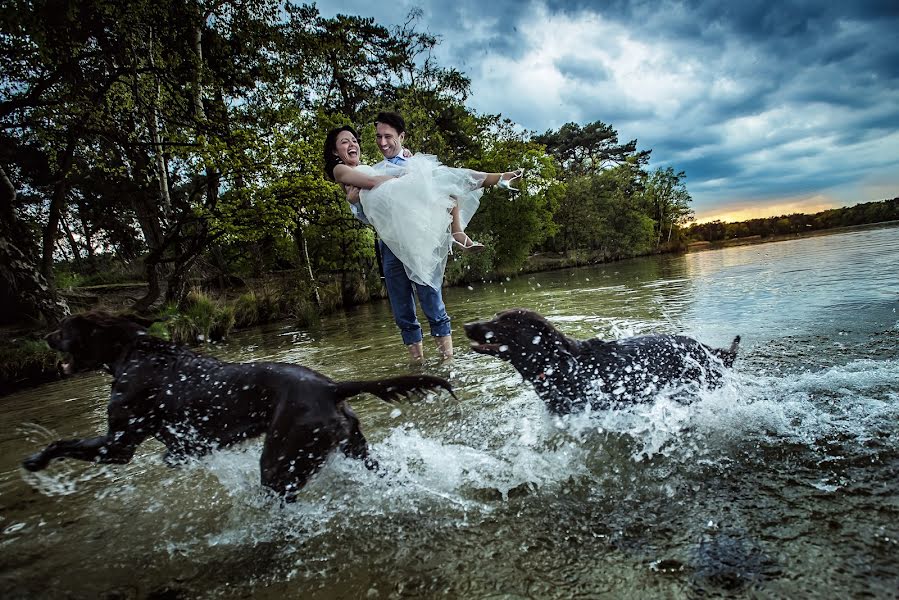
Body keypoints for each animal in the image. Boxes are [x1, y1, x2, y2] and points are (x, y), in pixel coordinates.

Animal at [26, 312, 458, 500]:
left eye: (63, 327)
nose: (45, 338)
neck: (136, 350)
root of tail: (330, 387)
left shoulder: (118, 444)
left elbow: (61, 443)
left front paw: (35, 461)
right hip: (354, 448)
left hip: (280, 462)